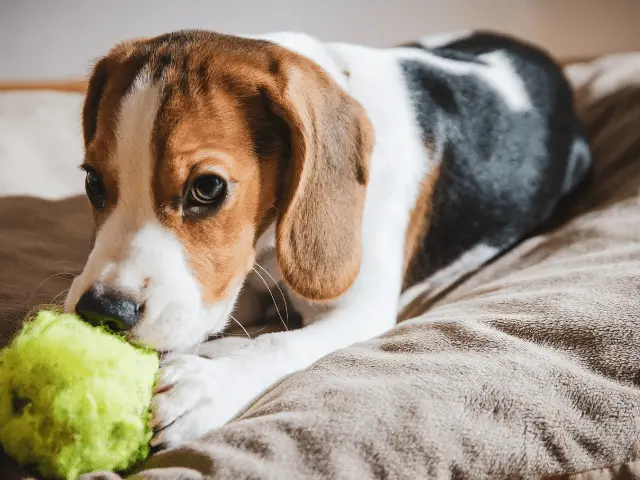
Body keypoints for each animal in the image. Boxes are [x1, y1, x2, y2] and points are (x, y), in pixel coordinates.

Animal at [63, 30, 592, 448]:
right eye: (92, 181)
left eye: (207, 187)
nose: (102, 312)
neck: (269, 244)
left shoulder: (361, 311)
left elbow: (279, 344)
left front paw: (210, 385)